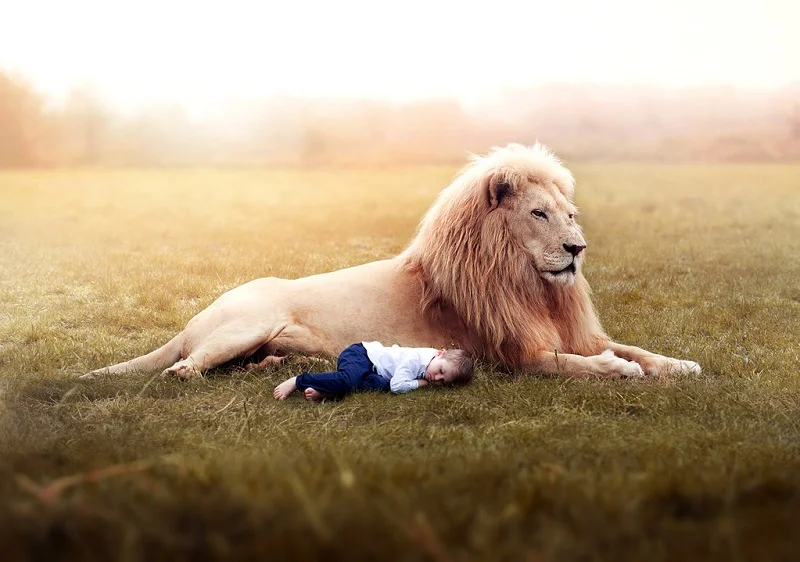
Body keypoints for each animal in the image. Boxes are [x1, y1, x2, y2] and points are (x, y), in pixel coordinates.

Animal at [81, 143, 700, 381]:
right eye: (540, 214)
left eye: (570, 215)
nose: (577, 250)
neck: (528, 282)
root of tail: (195, 319)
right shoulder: (513, 355)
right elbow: (581, 364)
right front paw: (620, 371)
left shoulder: (571, 331)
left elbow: (634, 348)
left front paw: (680, 364)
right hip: (244, 324)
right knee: (183, 368)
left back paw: (272, 365)